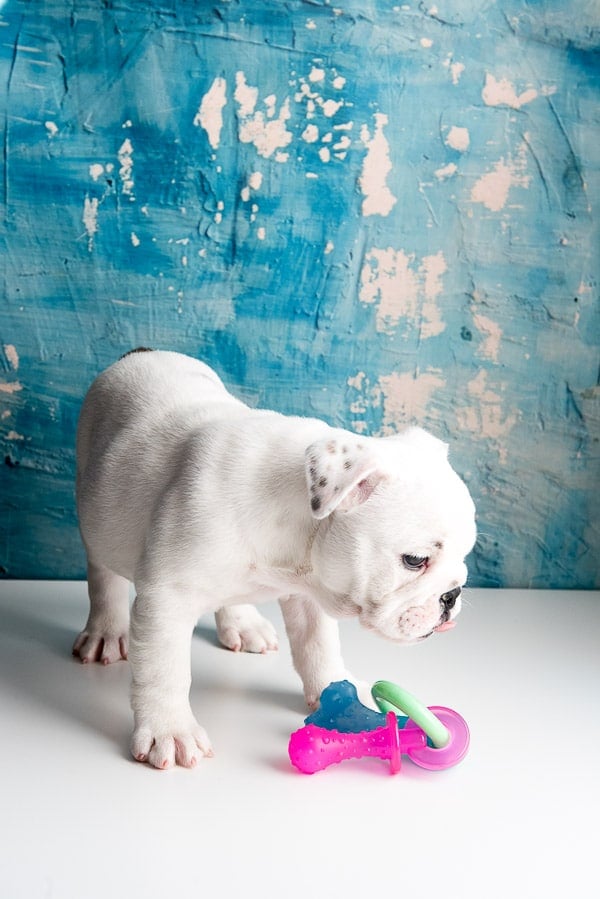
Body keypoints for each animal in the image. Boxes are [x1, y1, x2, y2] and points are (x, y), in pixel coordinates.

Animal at [75, 348, 476, 768]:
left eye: (464, 557)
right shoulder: (166, 598)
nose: (452, 595)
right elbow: (164, 670)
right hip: (97, 512)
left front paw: (338, 693)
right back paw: (106, 632)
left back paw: (243, 623)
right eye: (414, 560)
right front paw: (170, 731)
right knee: (102, 574)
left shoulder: (310, 593)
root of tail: (142, 351)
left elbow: (318, 646)